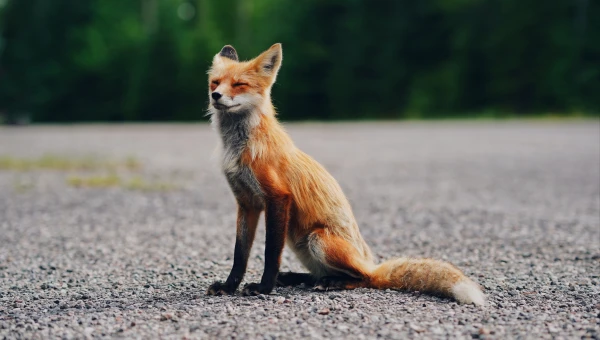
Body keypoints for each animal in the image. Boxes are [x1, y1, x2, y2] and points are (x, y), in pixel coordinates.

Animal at [204, 42, 486, 306]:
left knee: (364, 278)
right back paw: (299, 278)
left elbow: (270, 253)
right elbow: (240, 254)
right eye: (215, 82)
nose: (216, 96)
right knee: (322, 274)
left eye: (239, 84)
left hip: (318, 240)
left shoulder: (277, 197)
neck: (240, 148)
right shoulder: (247, 203)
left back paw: (332, 282)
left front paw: (263, 288)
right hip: (299, 241)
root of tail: (370, 262)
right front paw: (229, 286)